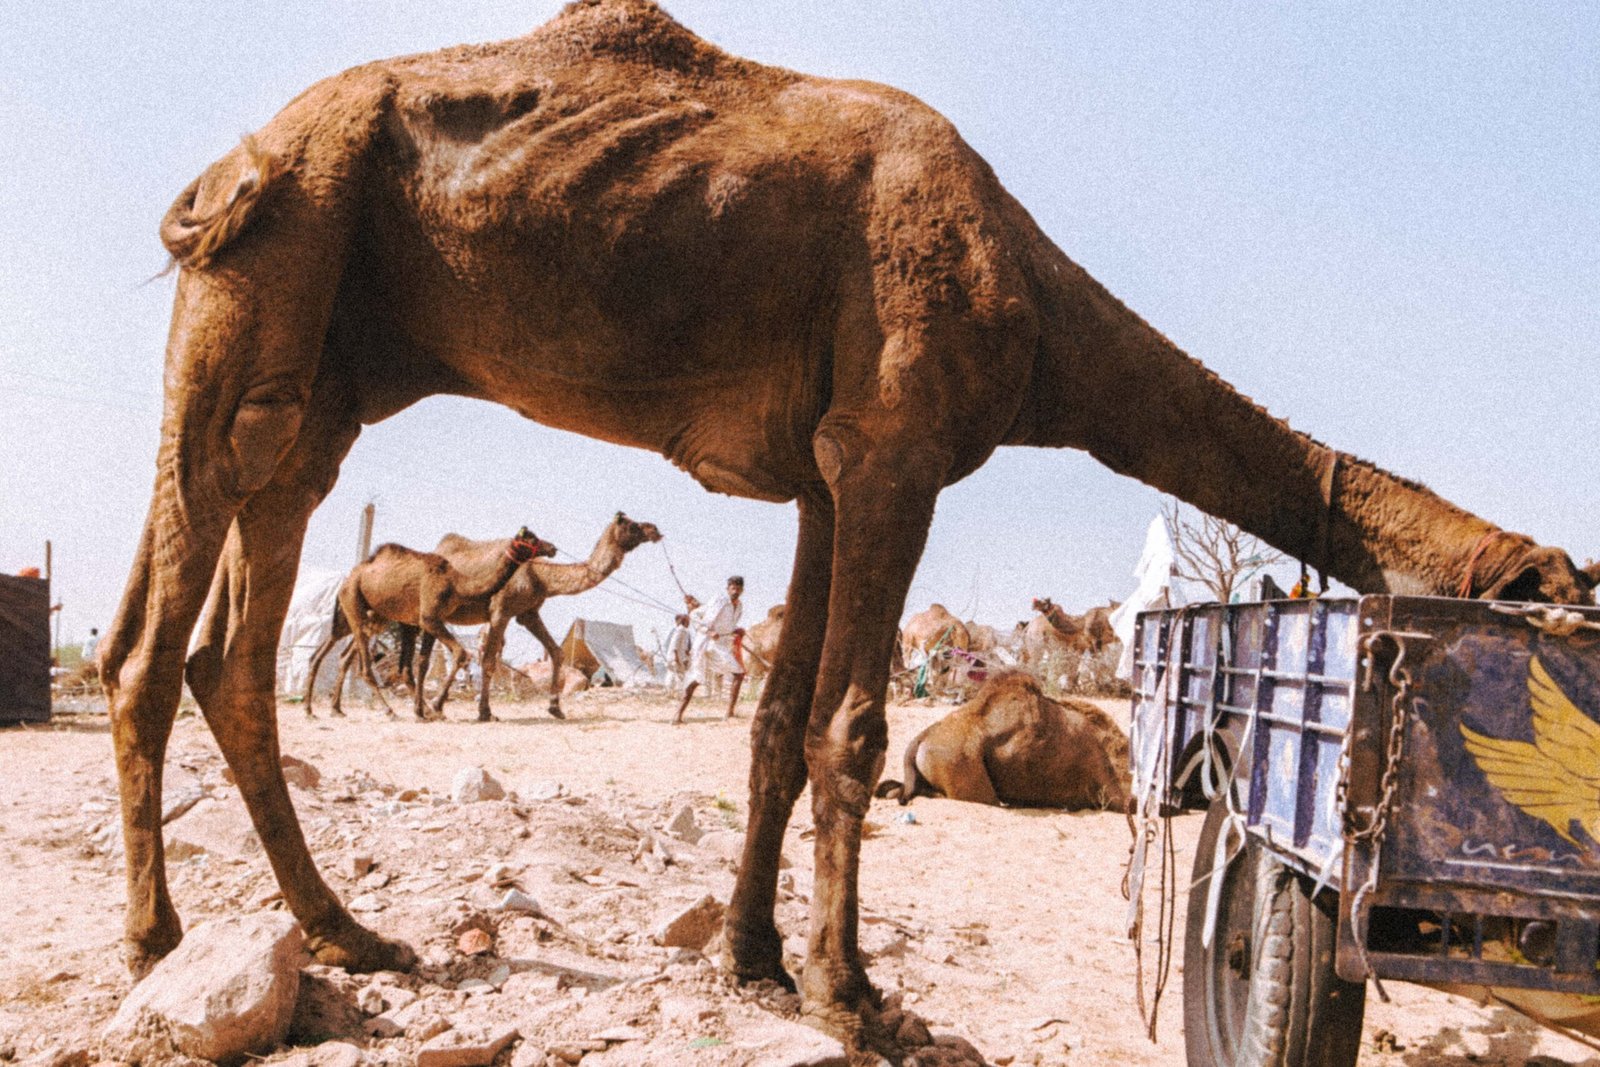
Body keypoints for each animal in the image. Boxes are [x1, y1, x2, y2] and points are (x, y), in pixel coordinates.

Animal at [336, 528, 554, 721]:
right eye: (532, 539)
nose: (552, 547)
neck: (457, 583)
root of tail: (349, 579)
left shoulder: (432, 619)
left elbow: (423, 663)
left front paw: (424, 711)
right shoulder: (429, 617)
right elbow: (461, 654)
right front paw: (434, 707)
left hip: (381, 617)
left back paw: (337, 708)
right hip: (353, 602)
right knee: (365, 666)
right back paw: (389, 711)